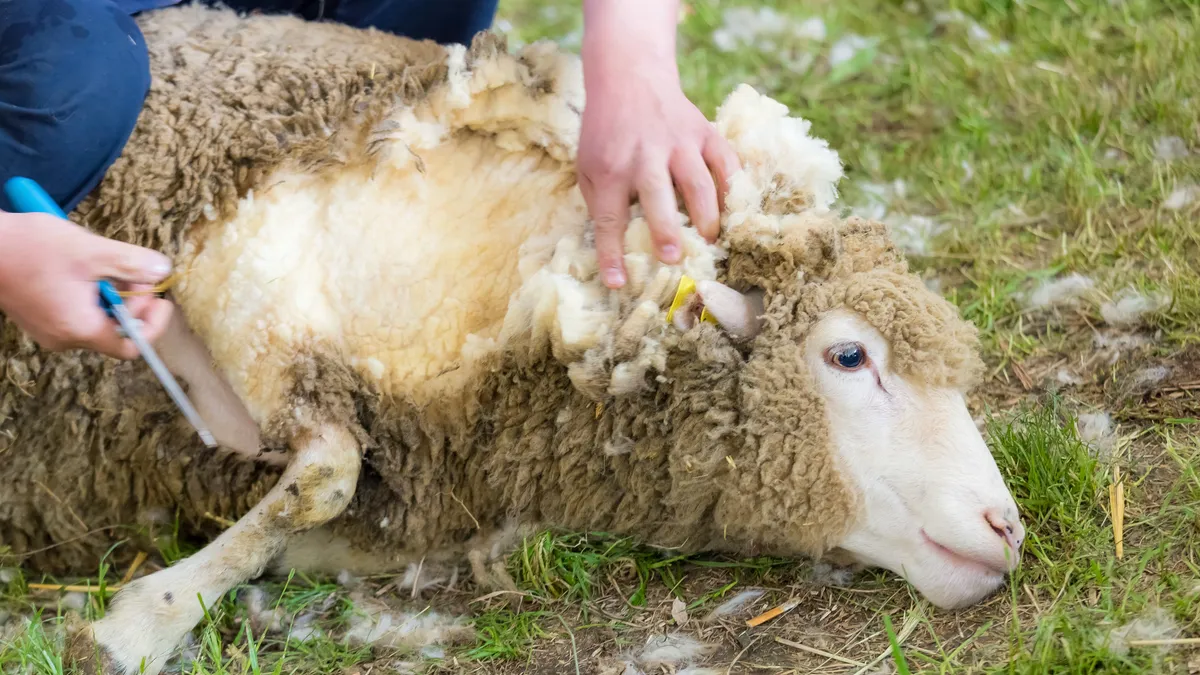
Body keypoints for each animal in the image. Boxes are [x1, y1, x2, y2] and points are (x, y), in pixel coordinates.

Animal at [0, 6, 1027, 672]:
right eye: (849, 355)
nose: (1006, 529)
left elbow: (322, 487)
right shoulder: (242, 265)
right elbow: (326, 469)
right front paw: (140, 620)